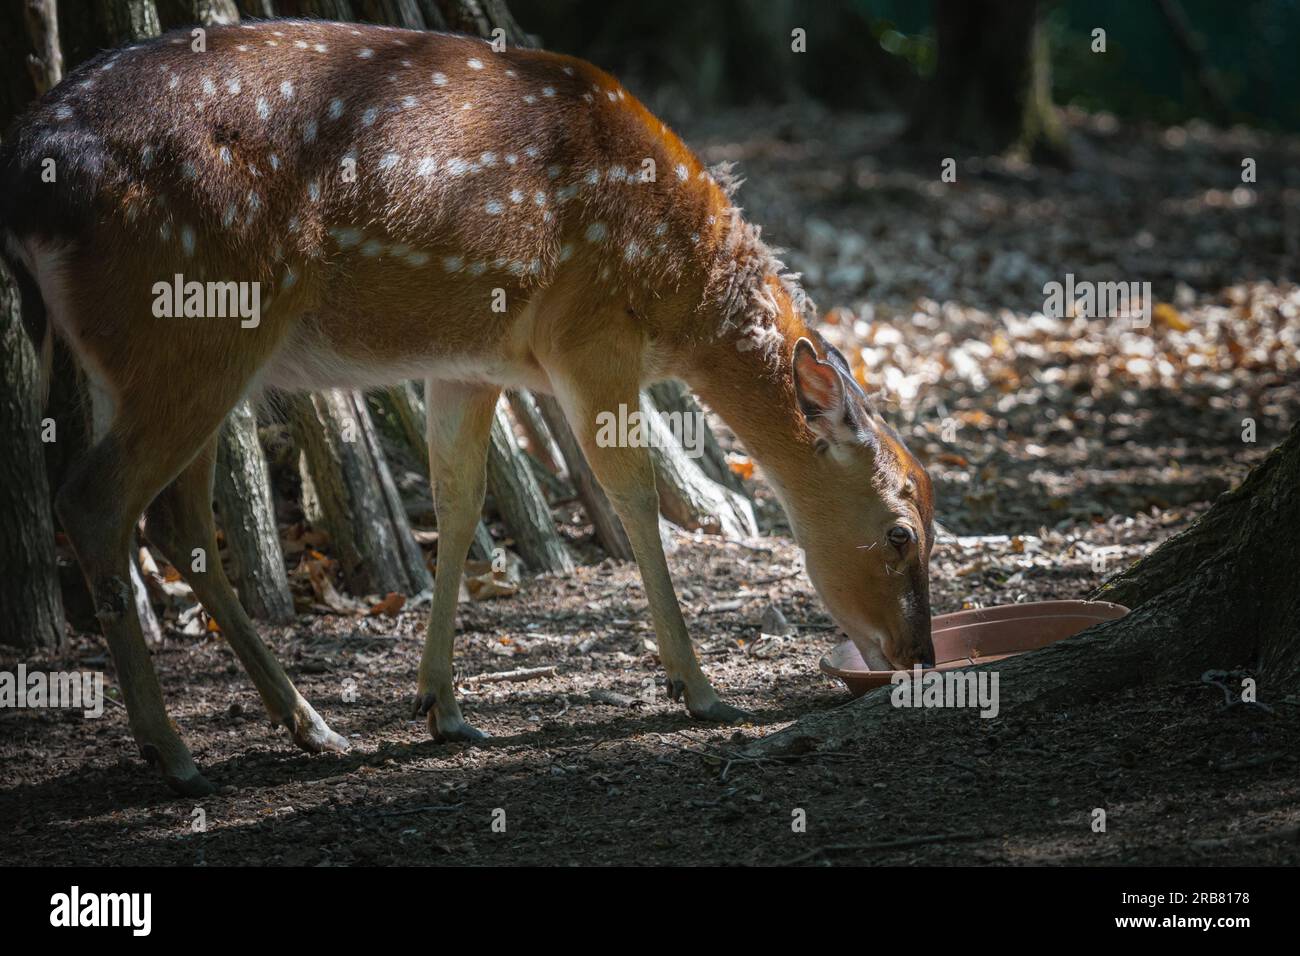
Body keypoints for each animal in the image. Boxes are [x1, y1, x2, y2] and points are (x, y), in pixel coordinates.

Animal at [0, 19, 935, 795]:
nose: (919, 655)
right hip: (194, 322)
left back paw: (312, 727)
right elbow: (632, 494)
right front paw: (697, 688)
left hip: (171, 355)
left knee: (178, 519)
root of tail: (26, 177)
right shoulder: (588, 331)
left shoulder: (472, 363)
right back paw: (175, 754)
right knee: (95, 499)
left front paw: (443, 706)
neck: (680, 290)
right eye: (901, 534)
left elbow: (459, 501)